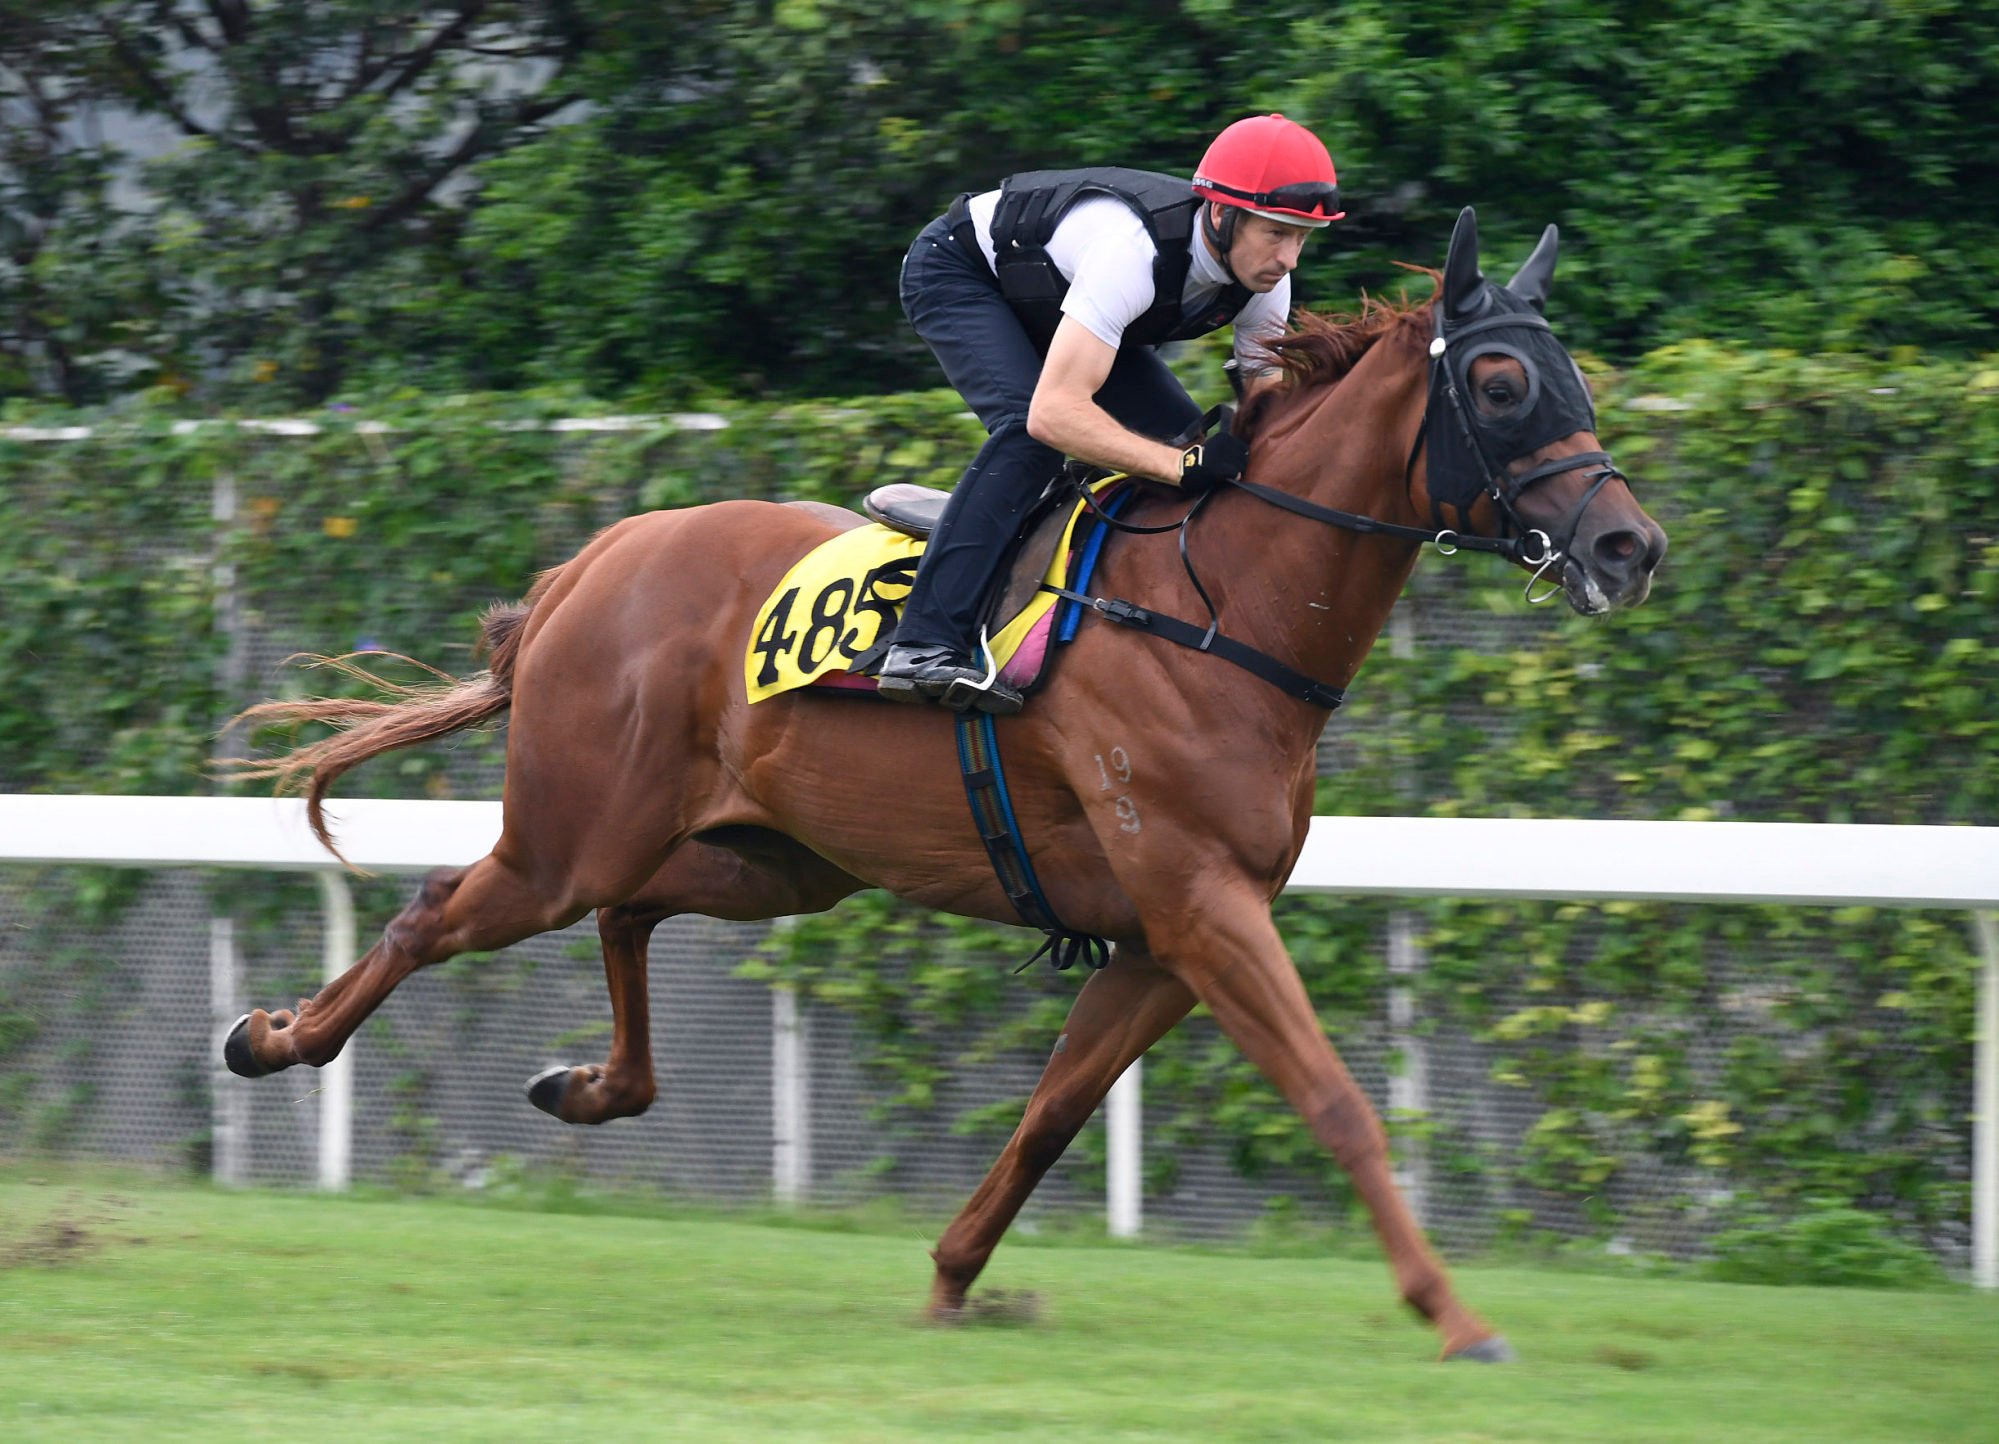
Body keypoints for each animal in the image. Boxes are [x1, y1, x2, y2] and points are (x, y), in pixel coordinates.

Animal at [226, 208, 1663, 1352]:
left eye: (1569, 375)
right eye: (1496, 383)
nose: (1626, 545)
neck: (1219, 610)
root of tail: (594, 560)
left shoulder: (1164, 937)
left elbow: (1051, 1115)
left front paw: (952, 1282)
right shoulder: (1202, 908)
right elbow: (1336, 1102)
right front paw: (1456, 1317)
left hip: (778, 861)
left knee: (626, 911)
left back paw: (588, 1087)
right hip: (571, 835)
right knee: (443, 909)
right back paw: (274, 1036)